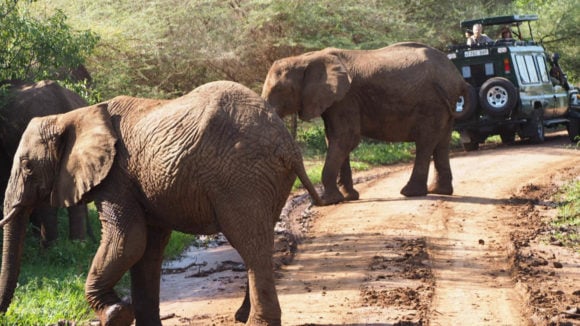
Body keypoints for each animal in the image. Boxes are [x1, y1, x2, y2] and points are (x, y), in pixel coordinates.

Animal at [262, 40, 472, 204]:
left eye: (280, 90)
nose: (316, 201)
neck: (306, 58)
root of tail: (459, 78)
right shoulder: (336, 100)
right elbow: (334, 139)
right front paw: (348, 197)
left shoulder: (345, 99)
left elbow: (345, 138)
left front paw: (330, 201)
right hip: (445, 105)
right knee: (441, 143)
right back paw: (439, 191)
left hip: (431, 105)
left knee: (425, 142)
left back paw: (410, 193)